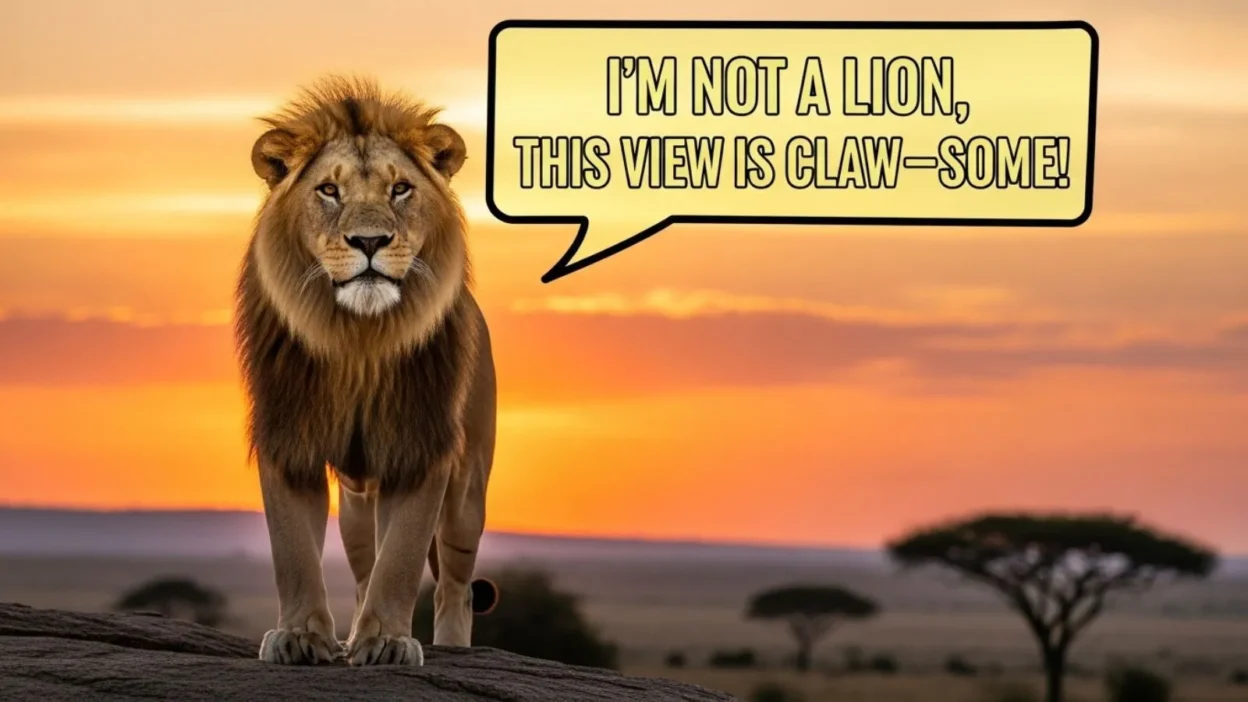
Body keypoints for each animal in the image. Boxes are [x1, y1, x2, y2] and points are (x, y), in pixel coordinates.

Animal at [233, 76, 498, 666]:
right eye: (329, 191)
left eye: (400, 189)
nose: (370, 241)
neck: (358, 338)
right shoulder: (289, 436)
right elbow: (293, 550)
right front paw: (300, 636)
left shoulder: (421, 443)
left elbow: (401, 556)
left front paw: (389, 642)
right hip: (357, 504)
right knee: (361, 569)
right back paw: (350, 630)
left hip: (468, 492)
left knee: (455, 585)